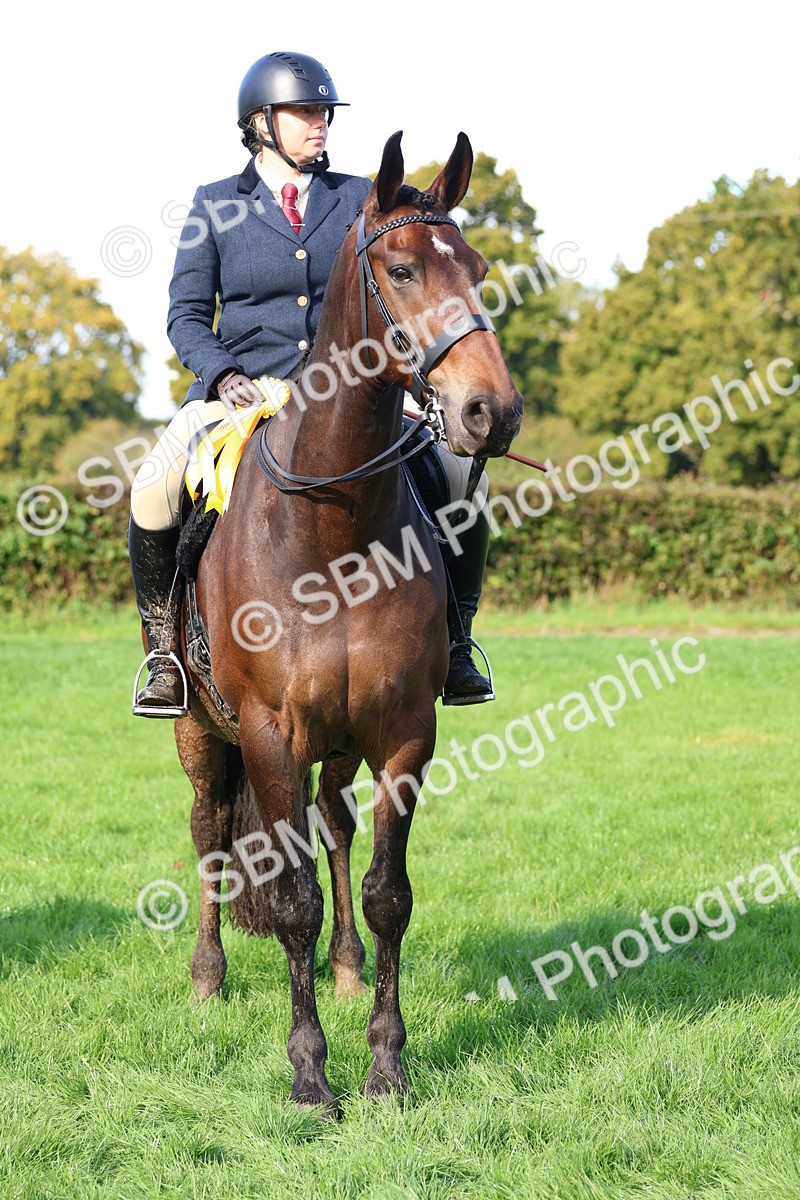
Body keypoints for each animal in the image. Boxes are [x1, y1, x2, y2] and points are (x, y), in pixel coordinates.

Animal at [173, 129, 523, 1114]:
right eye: (400, 270)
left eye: (478, 269)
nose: (491, 412)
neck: (332, 528)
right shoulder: (269, 734)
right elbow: (290, 899)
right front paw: (308, 1077)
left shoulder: (404, 734)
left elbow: (385, 895)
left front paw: (386, 1067)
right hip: (202, 732)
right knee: (211, 832)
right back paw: (208, 978)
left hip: (338, 744)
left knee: (334, 827)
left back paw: (346, 969)